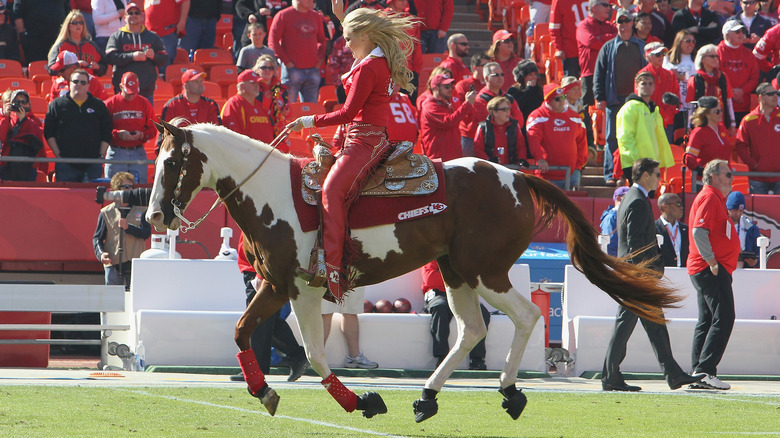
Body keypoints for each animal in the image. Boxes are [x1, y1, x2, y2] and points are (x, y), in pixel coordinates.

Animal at [148, 121, 684, 422]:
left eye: (173, 162)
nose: (154, 217)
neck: (273, 195)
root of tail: (516, 176)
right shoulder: (279, 286)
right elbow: (247, 333)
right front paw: (267, 392)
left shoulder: (297, 288)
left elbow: (314, 354)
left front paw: (360, 403)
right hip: (455, 272)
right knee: (470, 330)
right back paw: (427, 398)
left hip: (485, 271)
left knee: (527, 316)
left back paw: (510, 391)